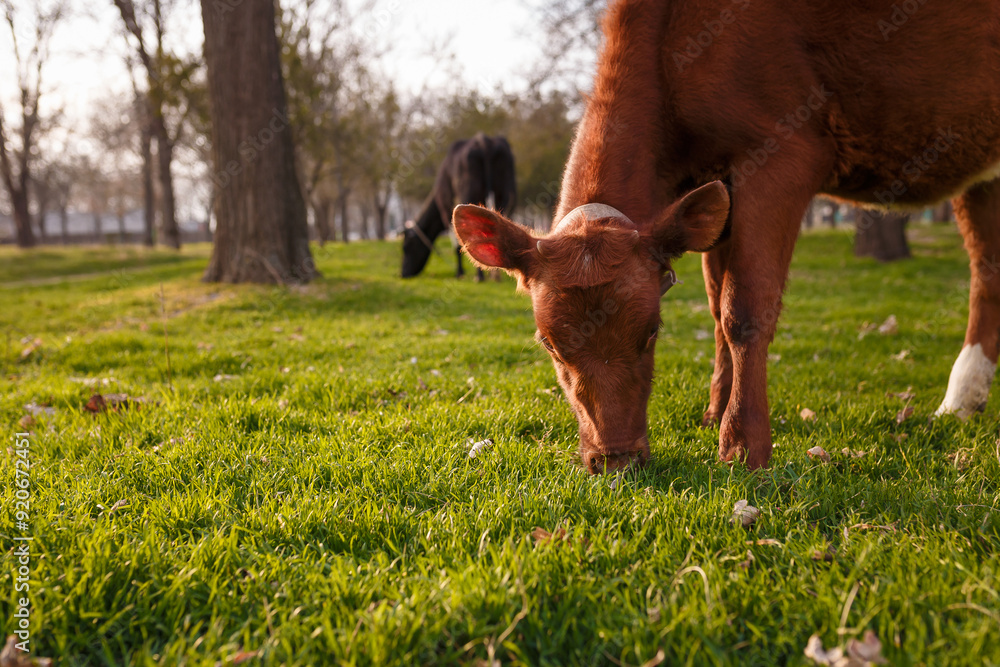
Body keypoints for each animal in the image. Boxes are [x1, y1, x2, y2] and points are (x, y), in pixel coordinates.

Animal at [401, 132, 516, 281]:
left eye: (406, 247)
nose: (403, 273)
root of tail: (483, 139)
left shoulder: (446, 209)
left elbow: (456, 243)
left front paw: (459, 273)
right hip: (506, 192)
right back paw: (496, 276)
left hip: (469, 193)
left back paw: (480, 277)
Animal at [453, 0, 1000, 474]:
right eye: (549, 344)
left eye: (652, 332)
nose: (615, 460)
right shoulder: (717, 189)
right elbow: (718, 308)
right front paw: (716, 411)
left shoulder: (785, 152)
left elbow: (745, 309)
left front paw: (743, 442)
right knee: (988, 268)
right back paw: (963, 400)